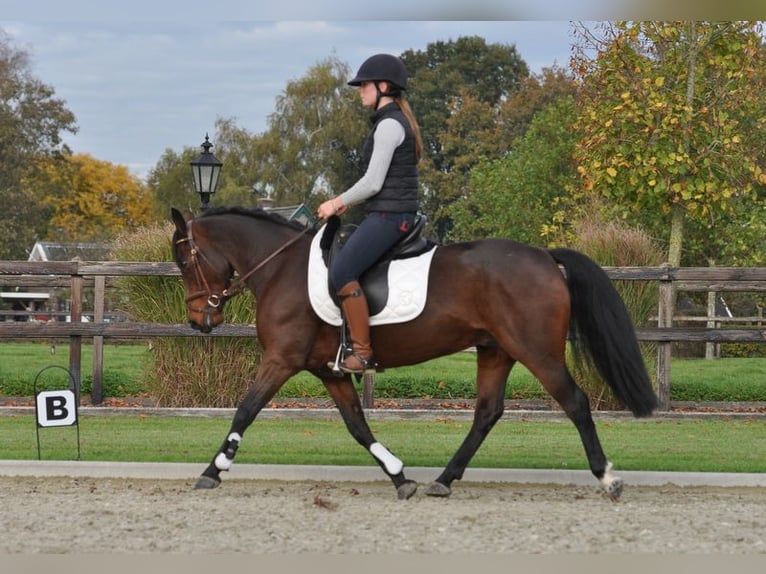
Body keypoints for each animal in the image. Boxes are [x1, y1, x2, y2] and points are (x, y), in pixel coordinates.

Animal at [171, 206, 656, 500]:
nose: (199, 320)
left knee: (574, 402)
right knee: (487, 412)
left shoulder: (281, 360)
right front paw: (399, 476)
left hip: (537, 352)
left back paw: (608, 477)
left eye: (184, 261)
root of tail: (542, 256)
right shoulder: (330, 372)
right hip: (495, 351)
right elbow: (358, 425)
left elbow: (245, 410)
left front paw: (213, 470)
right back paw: (443, 480)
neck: (280, 269)